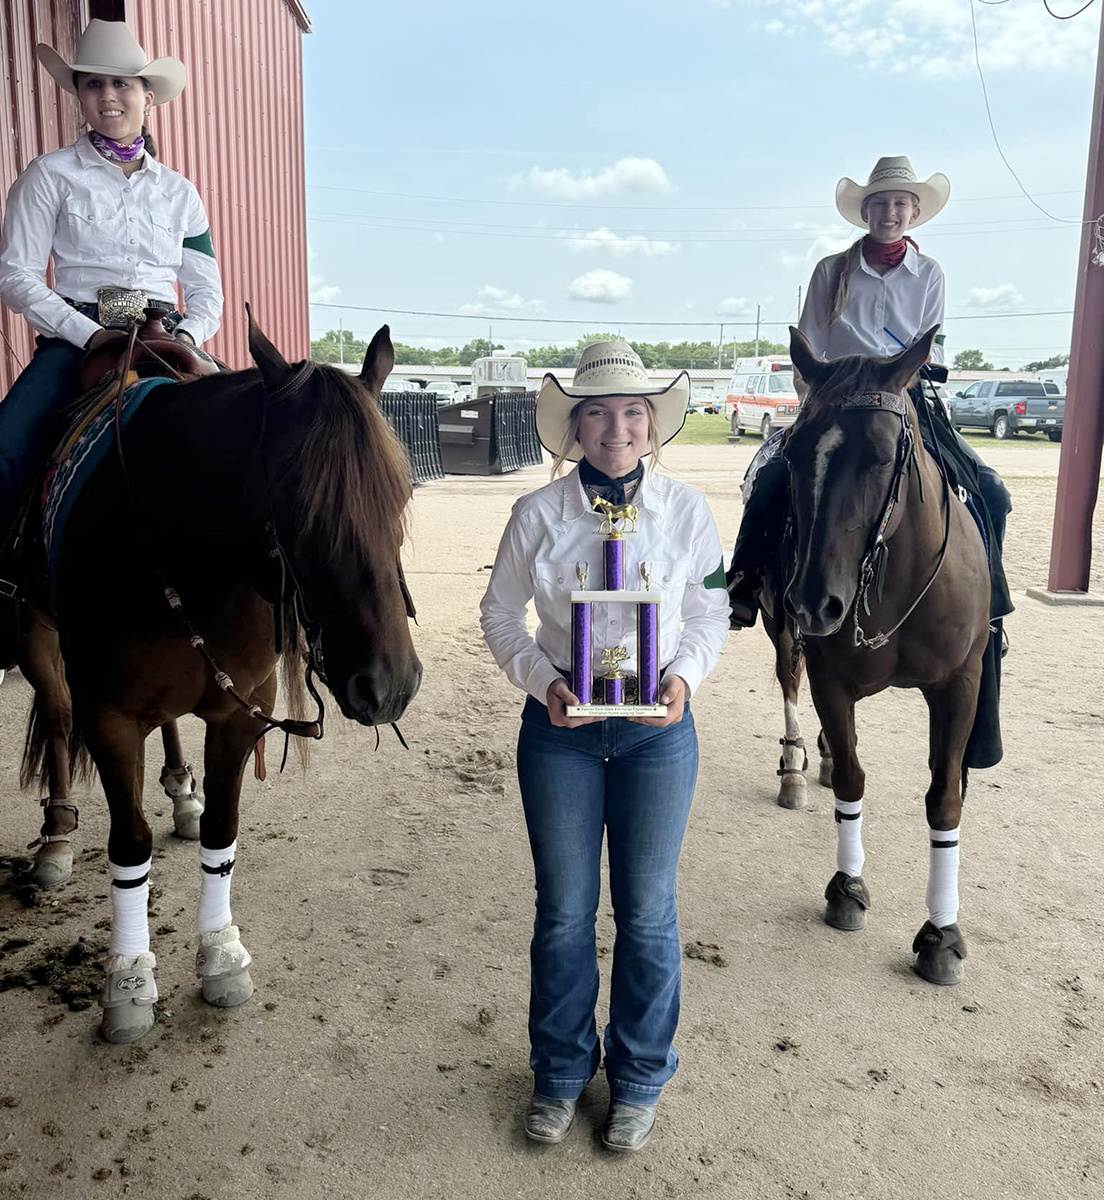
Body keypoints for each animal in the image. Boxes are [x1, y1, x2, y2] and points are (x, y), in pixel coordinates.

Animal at [15, 316, 420, 1041]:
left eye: (401, 494)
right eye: (296, 502)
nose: (390, 684)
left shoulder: (239, 712)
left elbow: (222, 833)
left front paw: (221, 953)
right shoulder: (108, 717)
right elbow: (129, 846)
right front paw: (129, 982)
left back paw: (181, 791)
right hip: (34, 629)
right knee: (57, 716)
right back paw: (56, 841)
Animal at [758, 328, 993, 984]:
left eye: (882, 457)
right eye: (794, 454)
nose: (816, 601)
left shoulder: (961, 683)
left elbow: (945, 799)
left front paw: (941, 934)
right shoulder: (830, 677)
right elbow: (853, 778)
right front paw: (847, 887)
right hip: (781, 630)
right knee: (789, 681)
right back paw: (796, 766)